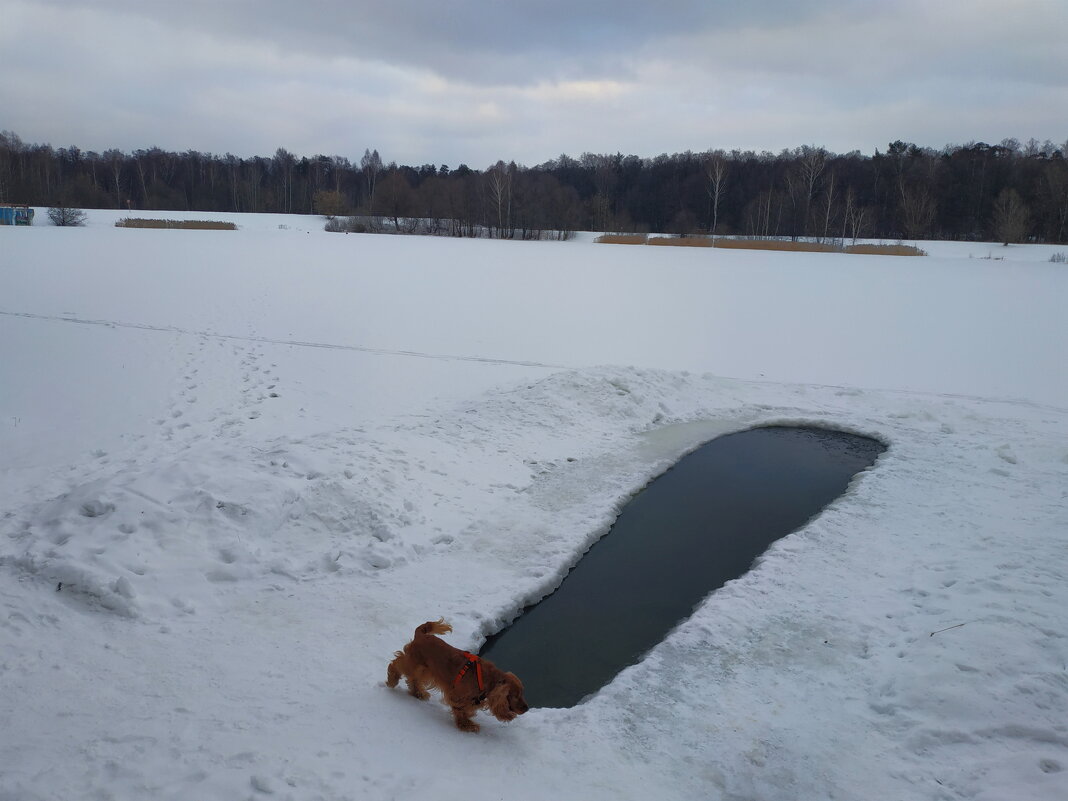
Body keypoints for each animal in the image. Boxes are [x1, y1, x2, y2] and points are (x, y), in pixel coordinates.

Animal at [388, 619, 529, 734]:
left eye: (522, 693)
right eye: (515, 696)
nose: (527, 709)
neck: (487, 679)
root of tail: (421, 635)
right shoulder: (458, 696)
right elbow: (461, 711)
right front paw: (467, 726)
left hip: (424, 670)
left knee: (414, 680)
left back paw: (418, 693)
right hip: (413, 664)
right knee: (395, 664)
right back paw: (392, 680)